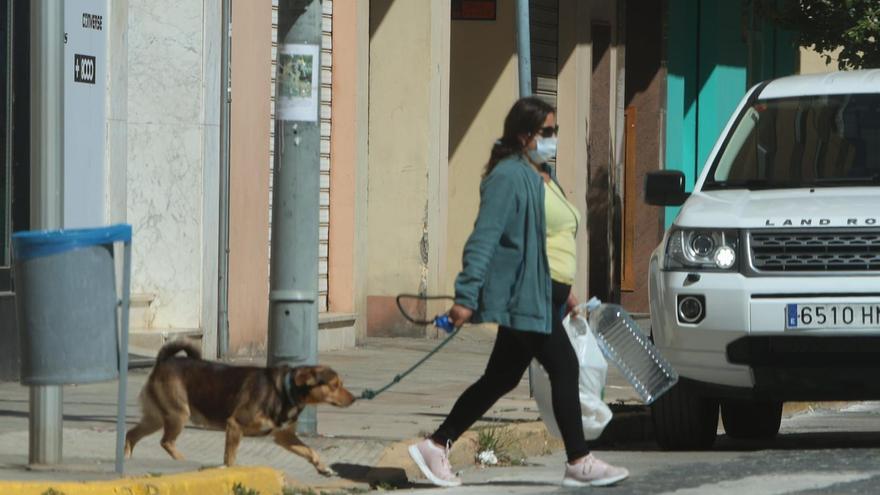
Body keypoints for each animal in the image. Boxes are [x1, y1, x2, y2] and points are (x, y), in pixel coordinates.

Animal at [124, 340, 358, 474]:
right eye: (335, 385)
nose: (355, 399)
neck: (285, 390)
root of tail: (163, 361)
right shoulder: (235, 425)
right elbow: (230, 458)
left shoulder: (284, 436)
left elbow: (309, 451)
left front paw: (322, 466)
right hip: (178, 414)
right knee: (166, 442)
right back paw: (183, 461)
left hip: (155, 418)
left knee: (131, 434)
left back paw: (127, 457)